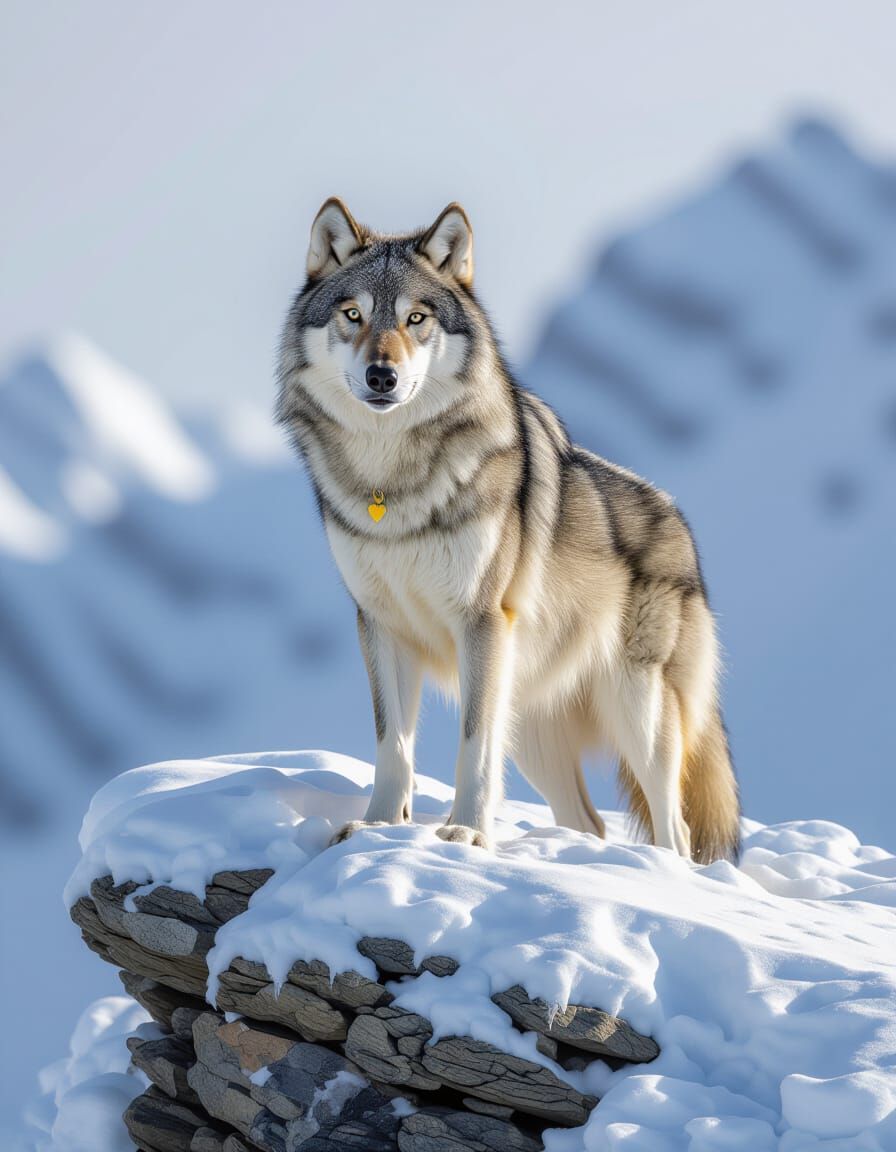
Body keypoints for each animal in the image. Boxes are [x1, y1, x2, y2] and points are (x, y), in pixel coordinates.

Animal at [276, 198, 741, 862]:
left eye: (416, 318)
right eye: (353, 315)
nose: (381, 376)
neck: (394, 485)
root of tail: (680, 523)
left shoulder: (480, 623)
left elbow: (472, 746)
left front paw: (467, 833)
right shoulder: (381, 627)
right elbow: (392, 746)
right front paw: (378, 827)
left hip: (637, 714)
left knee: (673, 830)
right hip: (534, 728)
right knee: (589, 821)